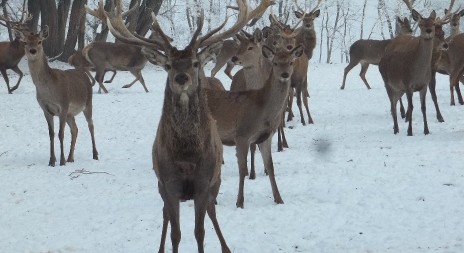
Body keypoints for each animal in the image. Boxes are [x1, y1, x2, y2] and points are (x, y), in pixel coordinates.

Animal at [16, 26, 98, 166]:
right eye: (25, 42)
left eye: (39, 42)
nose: (32, 51)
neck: (49, 92)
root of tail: (83, 74)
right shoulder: (45, 109)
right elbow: (51, 134)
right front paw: (52, 161)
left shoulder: (63, 105)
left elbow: (61, 133)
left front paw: (62, 161)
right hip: (71, 113)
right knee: (75, 129)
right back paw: (71, 158)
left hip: (88, 103)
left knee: (91, 125)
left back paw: (95, 155)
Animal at [87, 0, 274, 250]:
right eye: (168, 65)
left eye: (195, 63)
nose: (182, 78)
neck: (186, 155)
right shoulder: (168, 184)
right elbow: (175, 232)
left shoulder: (204, 183)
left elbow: (199, 231)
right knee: (166, 214)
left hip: (216, 181)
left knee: (212, 211)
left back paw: (225, 246)